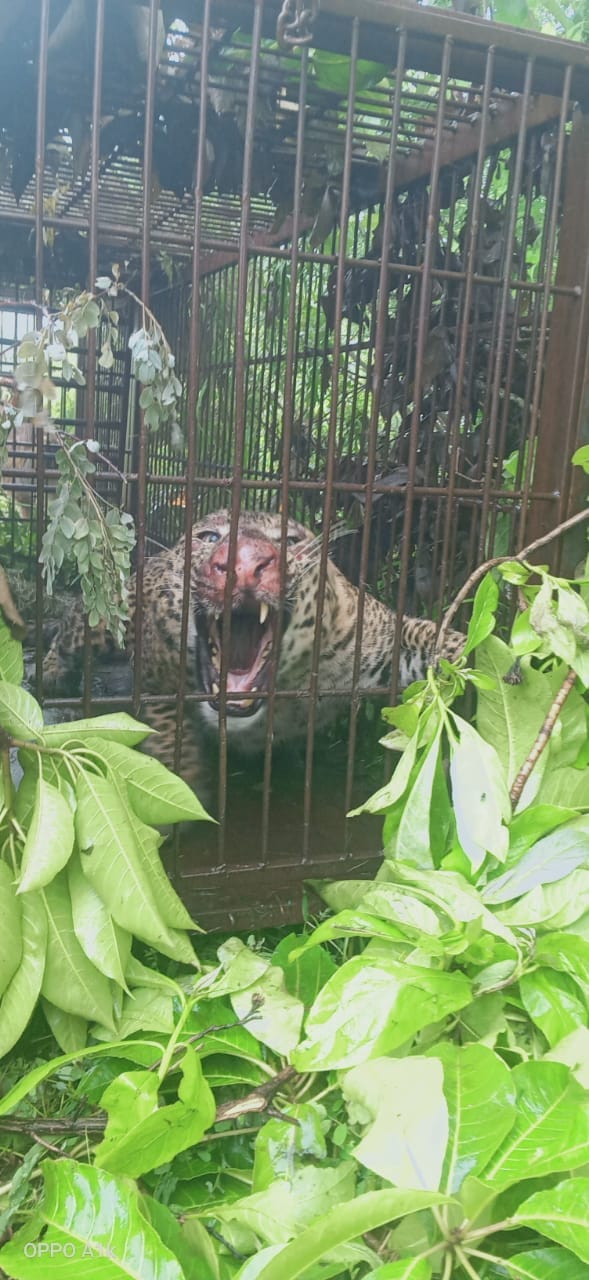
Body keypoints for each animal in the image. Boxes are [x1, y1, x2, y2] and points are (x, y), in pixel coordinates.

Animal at [42, 508, 464, 797]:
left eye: (290, 542)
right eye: (209, 537)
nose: (244, 562)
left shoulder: (371, 631)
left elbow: (425, 632)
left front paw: (465, 654)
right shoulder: (153, 668)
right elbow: (167, 722)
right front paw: (183, 779)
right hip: (102, 619)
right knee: (68, 629)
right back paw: (51, 675)